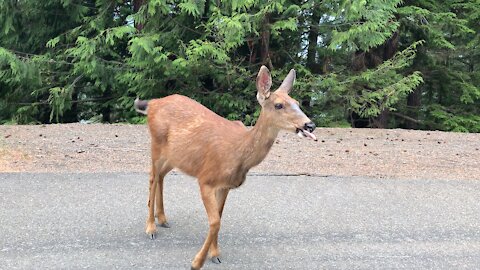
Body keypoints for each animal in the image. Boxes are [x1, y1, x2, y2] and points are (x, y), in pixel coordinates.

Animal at [134, 66, 316, 270]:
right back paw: (151, 227)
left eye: (297, 103)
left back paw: (163, 219)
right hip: (156, 144)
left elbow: (219, 217)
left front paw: (215, 254)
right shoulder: (205, 180)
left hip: (176, 156)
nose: (310, 125)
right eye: (278, 105)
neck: (238, 153)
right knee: (152, 177)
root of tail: (154, 103)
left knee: (161, 176)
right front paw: (197, 262)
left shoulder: (225, 186)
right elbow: (214, 222)